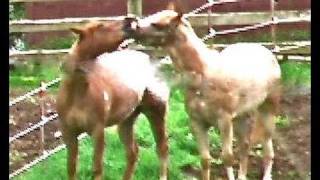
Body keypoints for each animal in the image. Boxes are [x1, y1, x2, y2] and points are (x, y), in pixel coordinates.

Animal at [56, 19, 169, 180]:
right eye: (101, 26)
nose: (130, 21)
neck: (77, 93)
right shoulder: (69, 133)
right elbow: (71, 168)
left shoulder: (97, 131)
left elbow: (97, 168)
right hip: (126, 121)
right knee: (133, 153)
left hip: (156, 112)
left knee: (162, 148)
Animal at [126, 4, 282, 180]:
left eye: (158, 25)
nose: (131, 28)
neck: (203, 75)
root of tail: (267, 51)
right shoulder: (197, 122)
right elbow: (205, 160)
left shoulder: (224, 120)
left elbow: (227, 158)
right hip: (242, 115)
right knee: (245, 145)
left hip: (268, 108)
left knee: (266, 144)